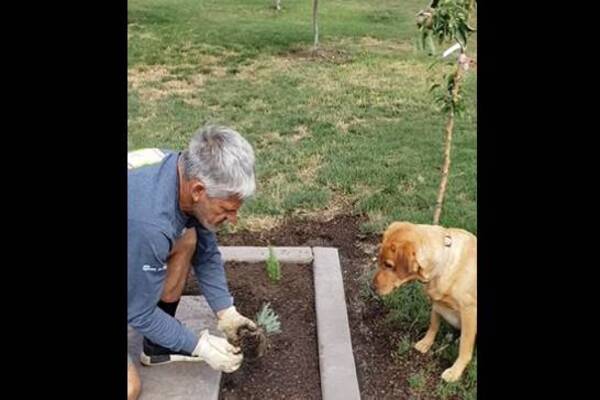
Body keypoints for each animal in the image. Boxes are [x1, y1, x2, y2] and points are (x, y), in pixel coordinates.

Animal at [372, 222, 476, 382]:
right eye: (379, 260)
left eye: (389, 265)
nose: (371, 287)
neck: (444, 265)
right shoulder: (436, 303)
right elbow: (433, 325)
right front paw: (426, 343)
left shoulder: (469, 311)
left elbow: (465, 347)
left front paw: (455, 371)